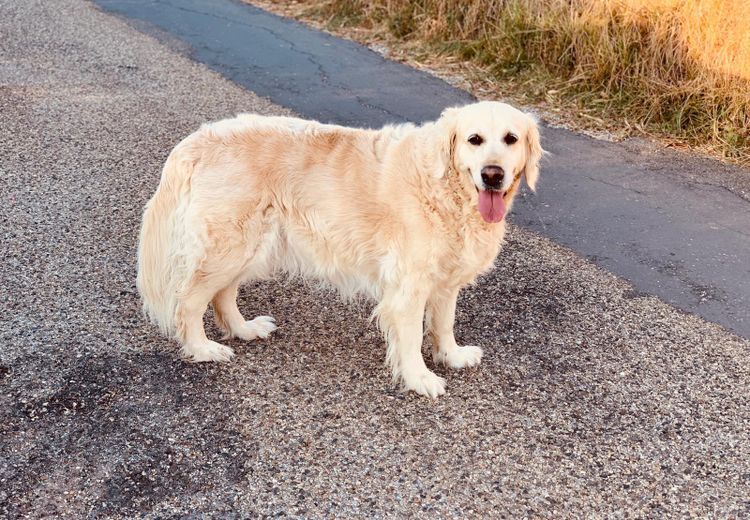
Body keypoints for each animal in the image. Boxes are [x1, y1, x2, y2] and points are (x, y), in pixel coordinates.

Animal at [138, 100, 544, 398]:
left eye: (511, 139)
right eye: (474, 139)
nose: (492, 174)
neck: (446, 188)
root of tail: (196, 139)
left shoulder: (445, 278)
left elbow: (443, 324)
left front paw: (452, 355)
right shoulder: (408, 286)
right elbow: (412, 337)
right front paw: (420, 379)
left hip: (251, 245)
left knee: (223, 294)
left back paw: (244, 329)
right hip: (230, 244)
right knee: (190, 301)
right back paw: (203, 349)